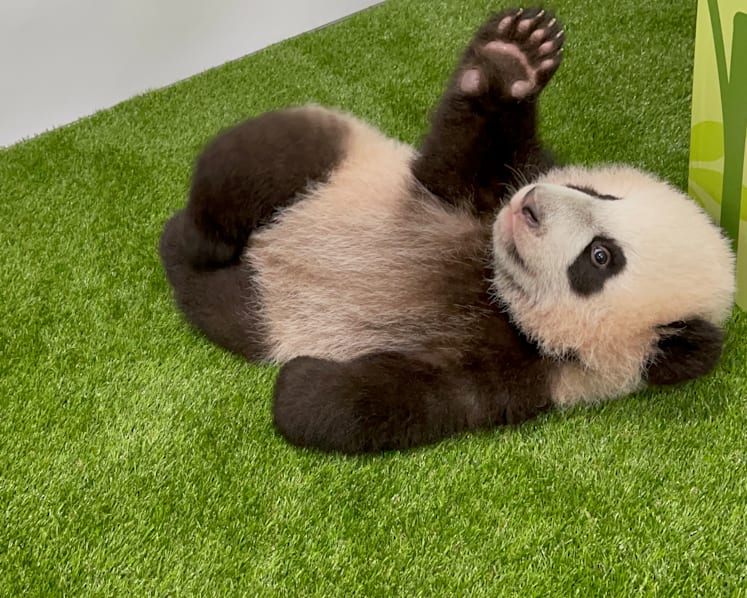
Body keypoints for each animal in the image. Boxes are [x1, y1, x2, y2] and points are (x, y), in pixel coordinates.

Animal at [159, 7, 735, 454]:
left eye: (600, 257)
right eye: (596, 192)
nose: (530, 206)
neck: (491, 282)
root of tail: (260, 254)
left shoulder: (531, 376)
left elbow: (404, 398)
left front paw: (298, 388)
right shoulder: (473, 196)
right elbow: (455, 160)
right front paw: (512, 59)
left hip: (260, 311)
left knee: (219, 300)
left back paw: (184, 251)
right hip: (331, 160)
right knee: (258, 156)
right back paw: (196, 232)